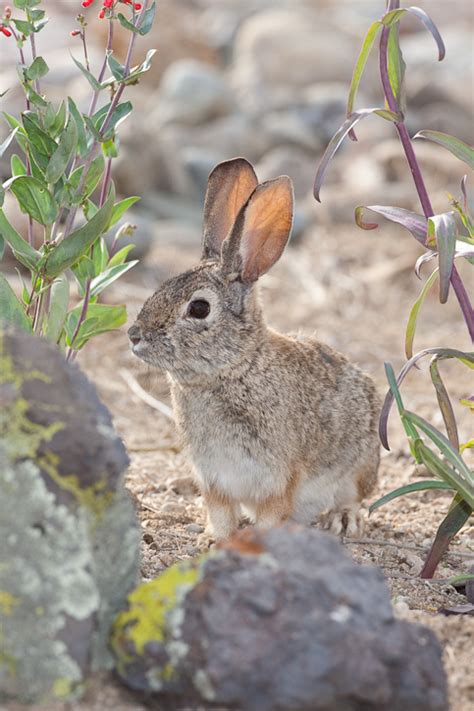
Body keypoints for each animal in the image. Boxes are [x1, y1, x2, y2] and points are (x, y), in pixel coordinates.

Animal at [130, 157, 382, 540]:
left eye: (199, 308)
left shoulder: (279, 478)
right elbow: (221, 515)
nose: (134, 335)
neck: (234, 368)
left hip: (360, 465)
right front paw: (213, 539)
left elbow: (271, 516)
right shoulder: (213, 479)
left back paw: (343, 520)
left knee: (353, 495)